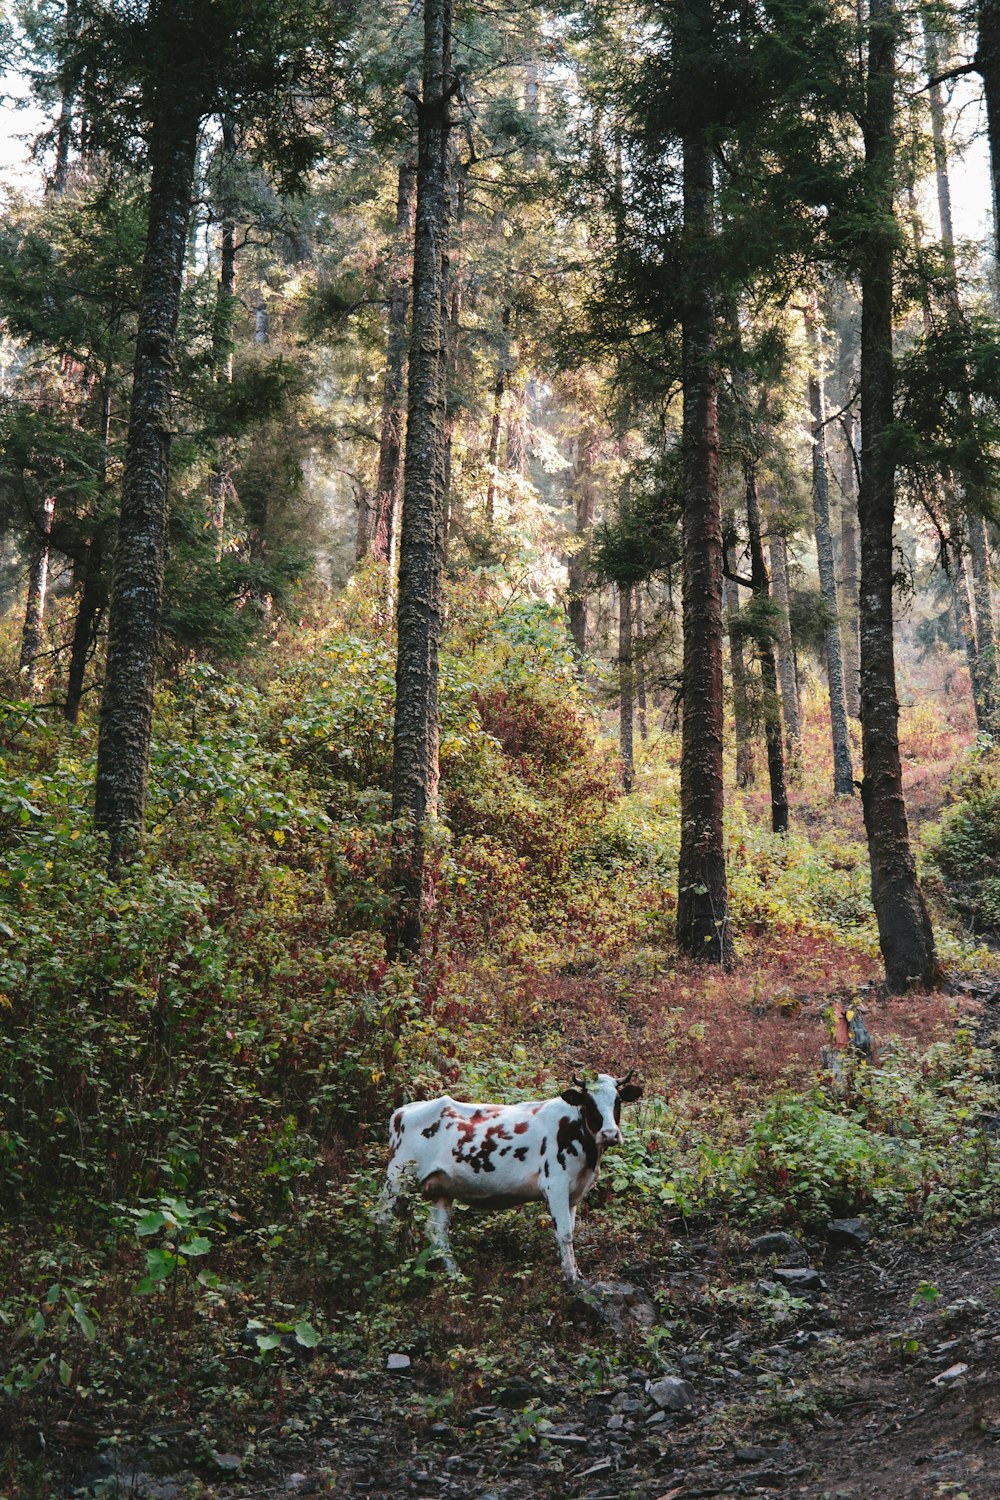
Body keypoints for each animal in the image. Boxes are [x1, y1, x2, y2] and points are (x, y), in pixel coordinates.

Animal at [373, 1068, 641, 1290]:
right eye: (589, 1101)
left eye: (617, 1101)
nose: (610, 1133)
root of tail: (403, 1111)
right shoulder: (556, 1184)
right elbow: (565, 1234)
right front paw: (571, 1279)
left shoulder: (575, 1192)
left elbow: (571, 1232)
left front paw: (577, 1274)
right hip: (397, 1178)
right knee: (383, 1218)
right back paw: (384, 1265)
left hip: (441, 1189)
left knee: (436, 1231)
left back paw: (455, 1275)